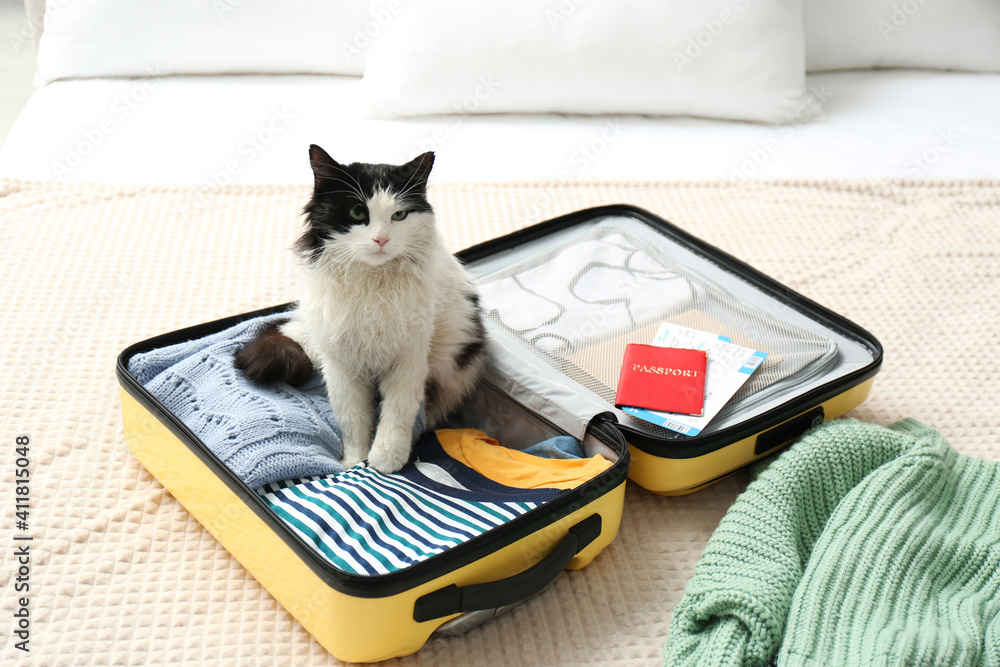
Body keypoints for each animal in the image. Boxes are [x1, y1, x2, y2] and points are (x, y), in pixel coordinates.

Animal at [234, 146, 484, 474]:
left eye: (399, 215)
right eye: (357, 213)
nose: (381, 239)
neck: (371, 284)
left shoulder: (409, 356)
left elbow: (397, 413)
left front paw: (385, 461)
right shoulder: (341, 363)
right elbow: (353, 419)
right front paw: (354, 461)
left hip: (451, 366)